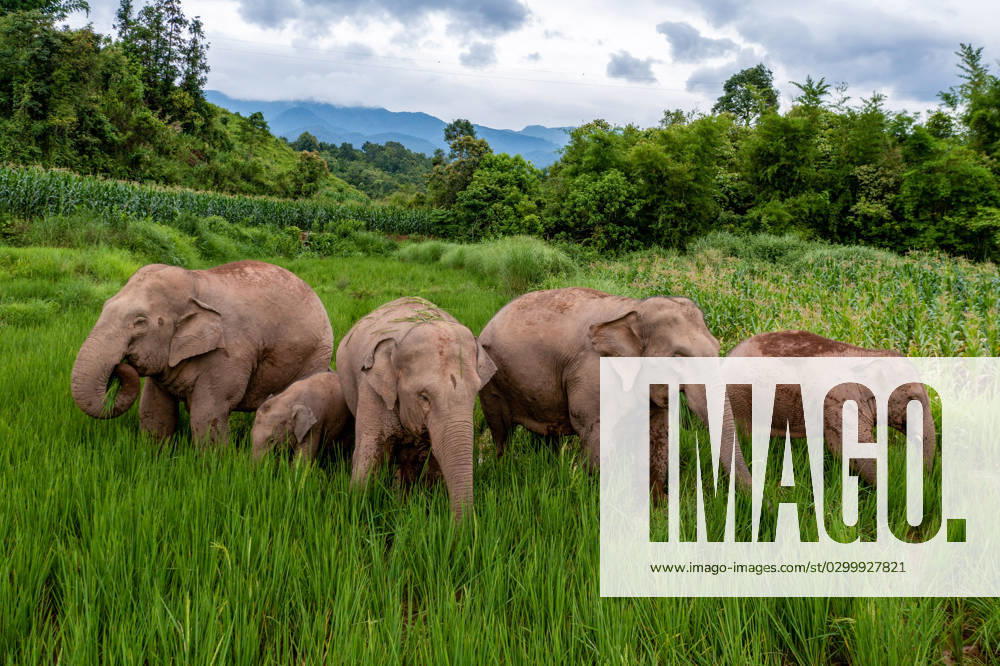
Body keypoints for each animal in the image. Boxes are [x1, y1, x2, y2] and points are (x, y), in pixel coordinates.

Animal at [71, 260, 333, 445]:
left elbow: (208, 414)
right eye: (104, 306)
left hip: (315, 355)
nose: (119, 365)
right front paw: (155, 455)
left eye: (140, 322)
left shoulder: (229, 353)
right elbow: (154, 409)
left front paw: (214, 468)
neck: (194, 281)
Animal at [336, 297, 496, 519]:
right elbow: (368, 453)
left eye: (475, 393)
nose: (460, 527)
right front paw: (356, 509)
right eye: (424, 397)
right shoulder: (372, 391)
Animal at [478, 287, 748, 500]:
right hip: (491, 381)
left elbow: (658, 430)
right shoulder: (591, 372)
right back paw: (502, 467)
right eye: (677, 358)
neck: (633, 310)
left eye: (717, 347)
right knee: (500, 430)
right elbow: (594, 429)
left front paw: (658, 507)